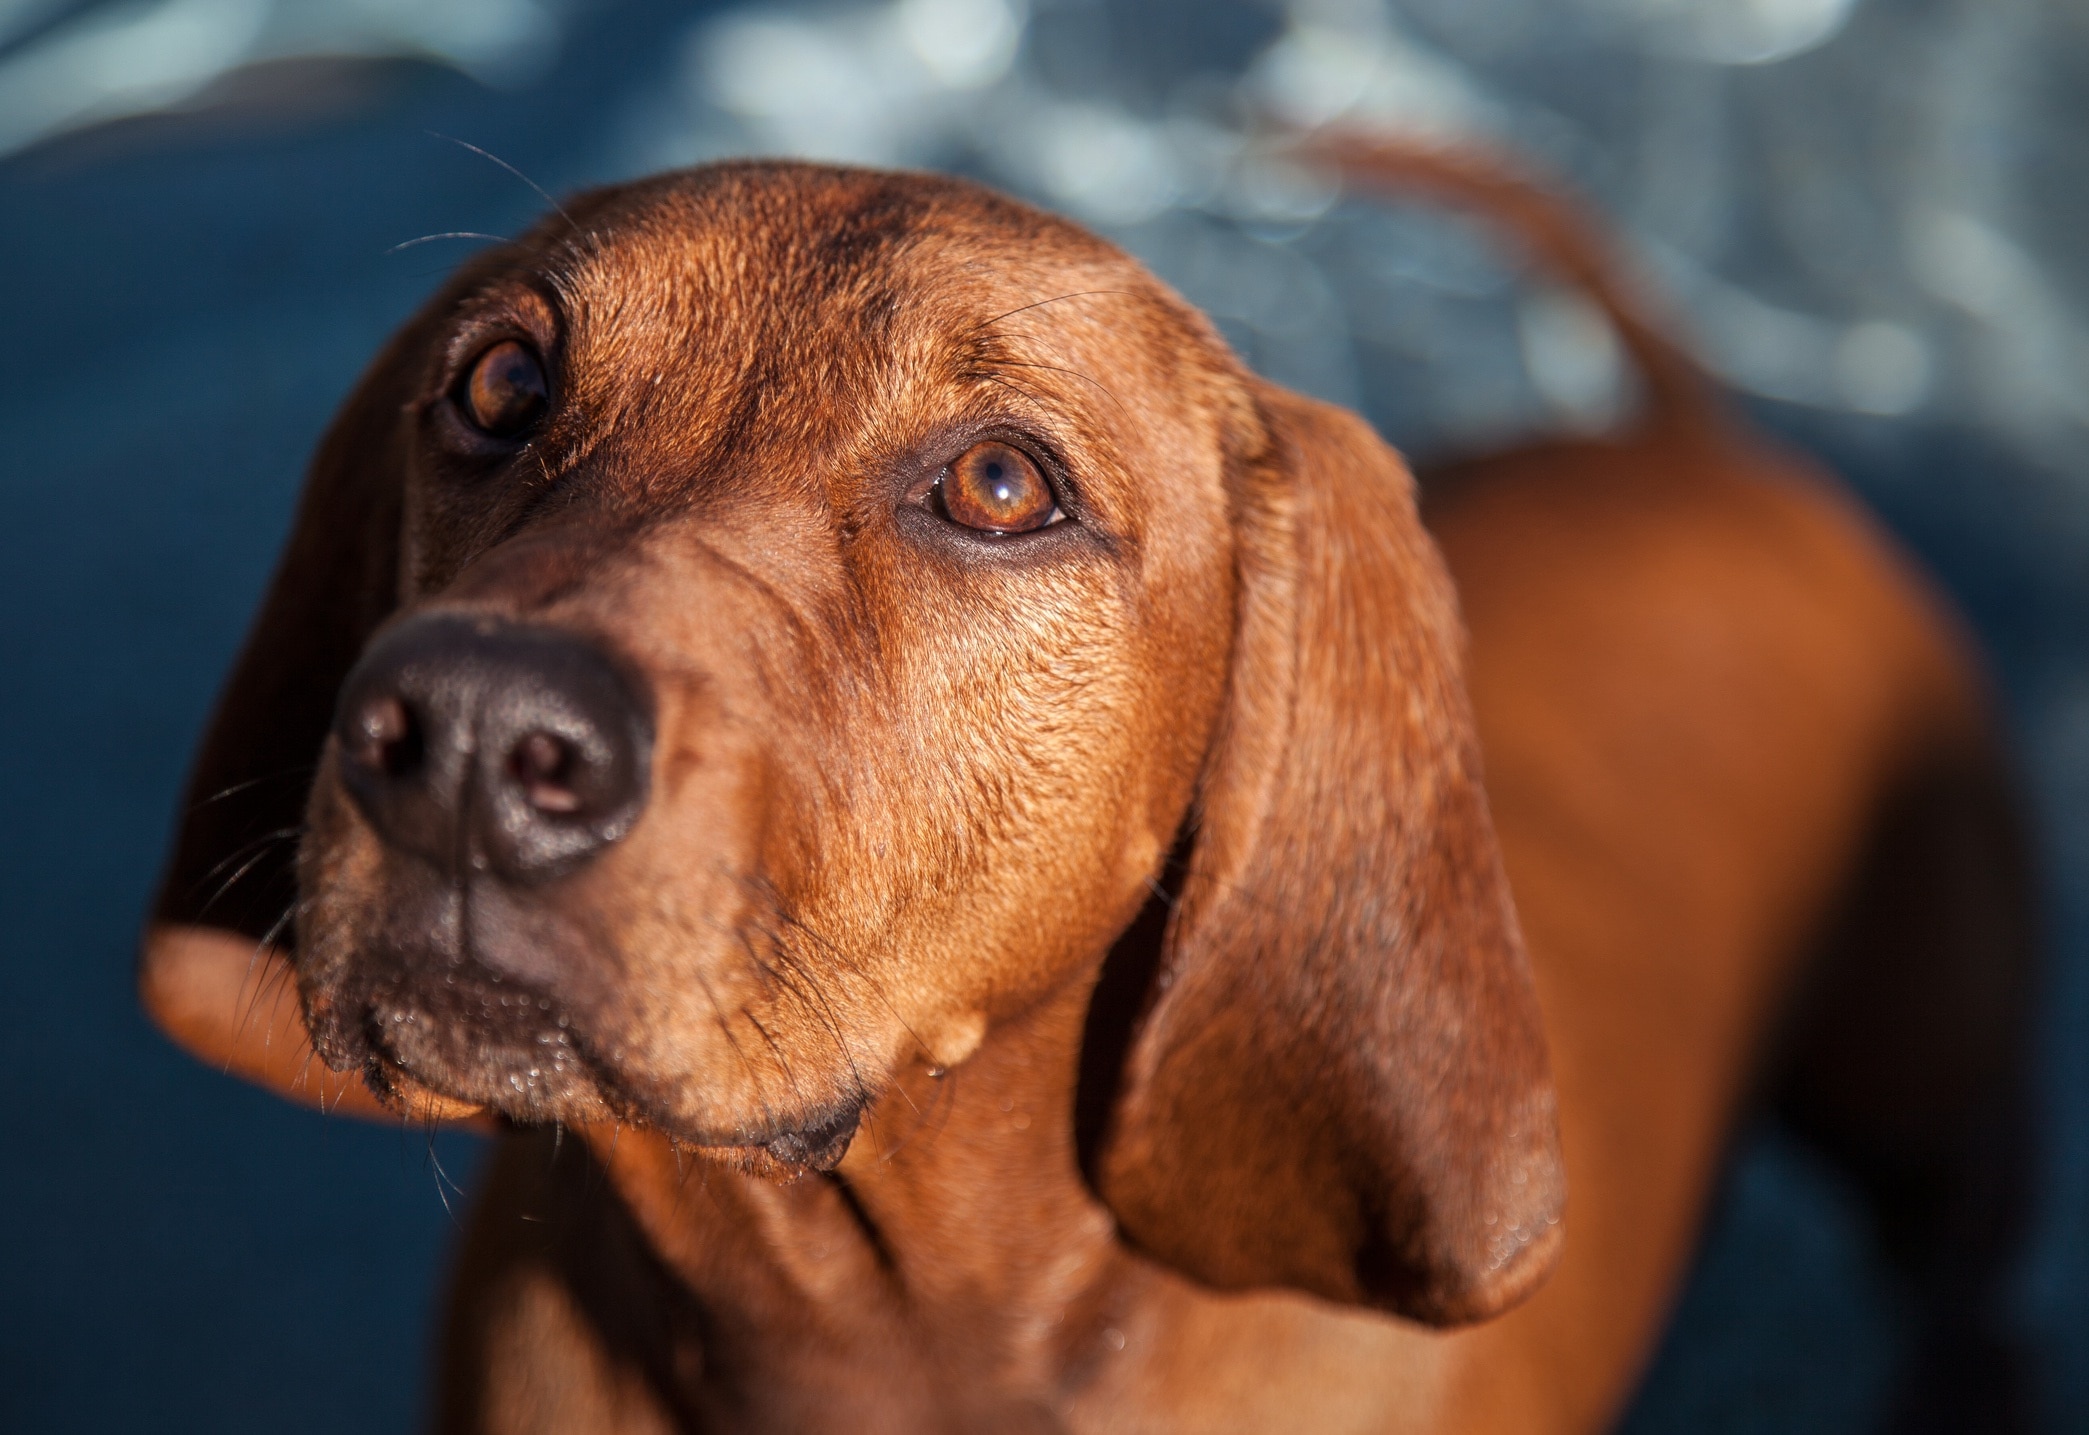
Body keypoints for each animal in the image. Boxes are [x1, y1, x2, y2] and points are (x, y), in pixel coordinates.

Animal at [138, 137, 2030, 1435]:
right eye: (499, 382)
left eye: (999, 484)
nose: (466, 736)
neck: (863, 1333)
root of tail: (1691, 441)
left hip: (1929, 1090)